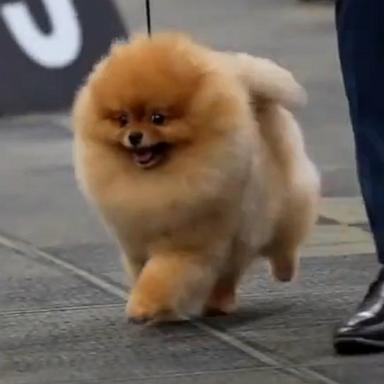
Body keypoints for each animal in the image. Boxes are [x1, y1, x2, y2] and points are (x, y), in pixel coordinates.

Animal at [71, 32, 318, 320]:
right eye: (122, 119)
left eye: (158, 118)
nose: (134, 136)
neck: (154, 181)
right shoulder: (134, 243)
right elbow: (143, 271)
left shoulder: (186, 244)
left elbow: (160, 275)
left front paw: (144, 306)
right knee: (228, 275)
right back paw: (218, 303)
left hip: (282, 204)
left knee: (284, 240)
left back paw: (284, 271)